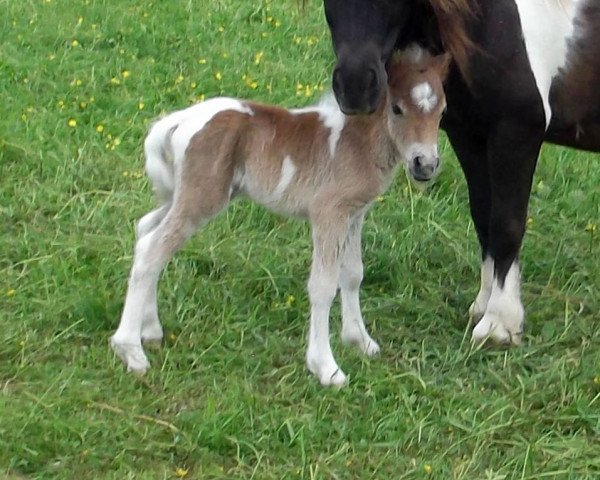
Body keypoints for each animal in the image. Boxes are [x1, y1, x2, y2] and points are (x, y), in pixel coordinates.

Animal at [111, 47, 450, 386]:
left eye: (443, 111)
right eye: (397, 108)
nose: (425, 164)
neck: (357, 142)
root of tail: (180, 119)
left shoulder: (355, 214)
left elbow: (353, 274)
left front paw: (360, 341)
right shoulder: (328, 213)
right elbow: (323, 286)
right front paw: (326, 367)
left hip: (187, 195)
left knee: (146, 232)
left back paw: (150, 330)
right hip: (202, 197)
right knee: (153, 249)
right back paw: (130, 350)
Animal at [326, 0, 596, 344]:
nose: (355, 87)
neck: (493, 25)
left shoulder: (516, 133)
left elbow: (506, 224)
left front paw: (499, 323)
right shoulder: (468, 134)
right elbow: (483, 217)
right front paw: (484, 305)